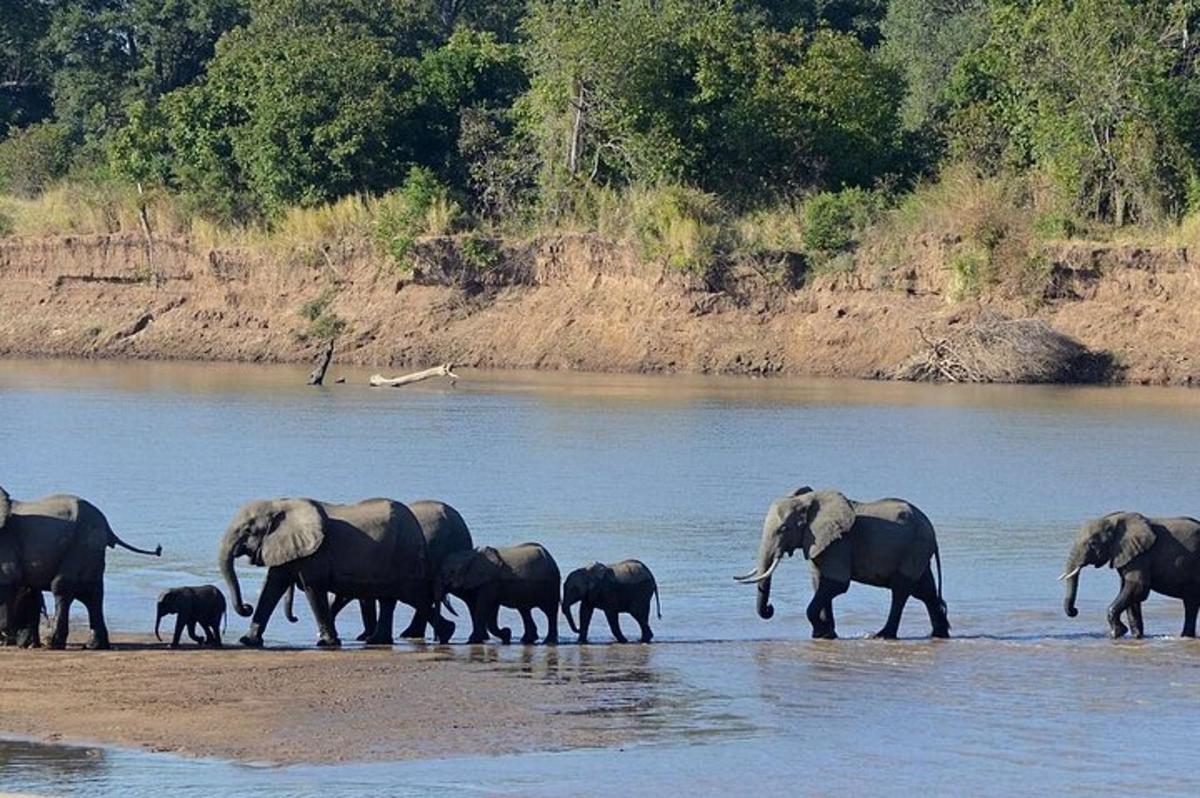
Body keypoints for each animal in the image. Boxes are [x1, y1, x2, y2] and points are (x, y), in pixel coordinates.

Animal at [0, 484, 162, 648]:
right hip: (90, 550)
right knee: (92, 595)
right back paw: (94, 645)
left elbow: (9, 578)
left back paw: (53, 643)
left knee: (61, 586)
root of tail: (107, 527)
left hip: (82, 545)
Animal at [217, 494, 451, 643]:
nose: (245, 607)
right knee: (393, 598)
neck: (279, 504)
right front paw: (248, 641)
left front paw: (327, 643)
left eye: (247, 531)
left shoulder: (316, 554)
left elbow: (312, 588)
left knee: (410, 594)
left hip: (403, 555)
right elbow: (273, 585)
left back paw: (443, 633)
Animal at [729, 482, 945, 638]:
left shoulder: (839, 543)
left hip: (915, 547)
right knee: (926, 591)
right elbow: (819, 583)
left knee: (901, 590)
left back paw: (883, 635)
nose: (770, 608)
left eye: (783, 529)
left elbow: (836, 584)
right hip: (918, 551)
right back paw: (940, 634)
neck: (807, 501)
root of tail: (932, 531)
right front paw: (826, 635)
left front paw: (822, 634)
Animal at [1060, 513, 1200, 638]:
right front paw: (1136, 636)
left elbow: (1137, 588)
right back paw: (1186, 636)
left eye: (1093, 543)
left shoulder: (1141, 556)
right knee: (1191, 603)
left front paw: (1116, 633)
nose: (1075, 611)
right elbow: (1131, 592)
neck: (1112, 520)